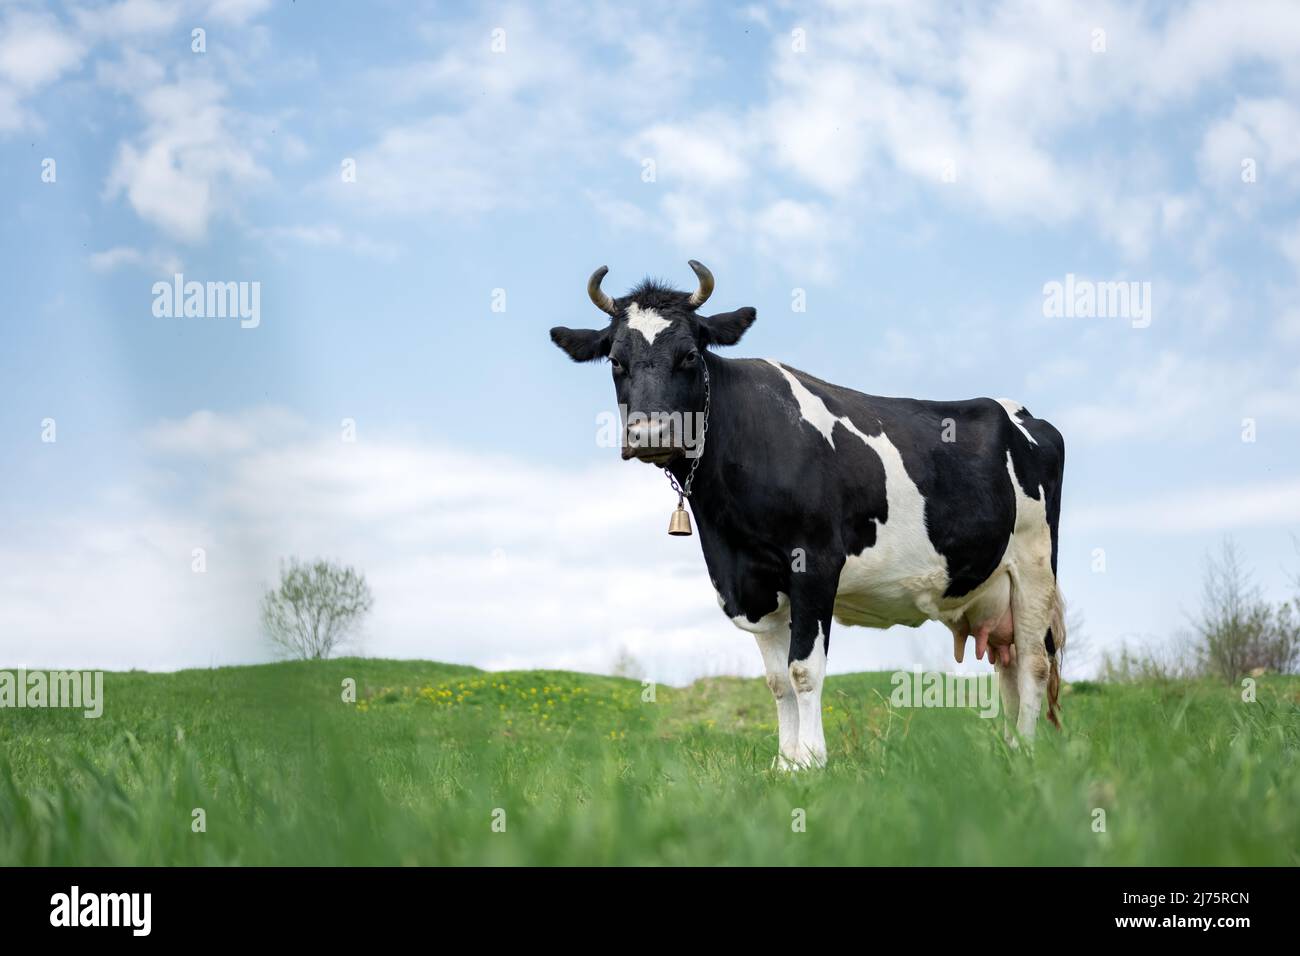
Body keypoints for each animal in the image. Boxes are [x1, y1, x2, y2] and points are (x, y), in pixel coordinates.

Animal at [550, 261, 1066, 769]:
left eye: (690, 355)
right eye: (616, 361)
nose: (652, 434)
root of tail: (1023, 413)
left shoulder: (815, 563)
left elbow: (803, 669)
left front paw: (813, 761)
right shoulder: (750, 581)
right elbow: (777, 680)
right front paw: (785, 765)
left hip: (1034, 566)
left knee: (1034, 664)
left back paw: (1026, 752)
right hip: (994, 589)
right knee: (1007, 664)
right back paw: (1007, 751)